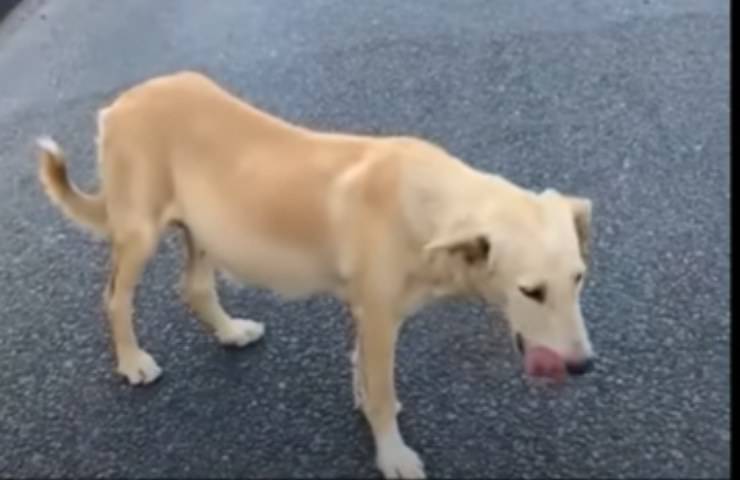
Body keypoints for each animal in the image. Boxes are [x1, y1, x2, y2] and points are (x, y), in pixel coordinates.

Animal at [39, 71, 596, 480]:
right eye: (530, 291)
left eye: (579, 279)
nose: (584, 366)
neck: (427, 202)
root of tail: (123, 102)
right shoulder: (379, 318)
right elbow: (381, 390)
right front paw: (392, 454)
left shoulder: (365, 313)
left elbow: (363, 372)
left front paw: (365, 406)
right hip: (140, 232)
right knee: (116, 298)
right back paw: (132, 362)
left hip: (205, 231)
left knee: (194, 288)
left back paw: (230, 331)